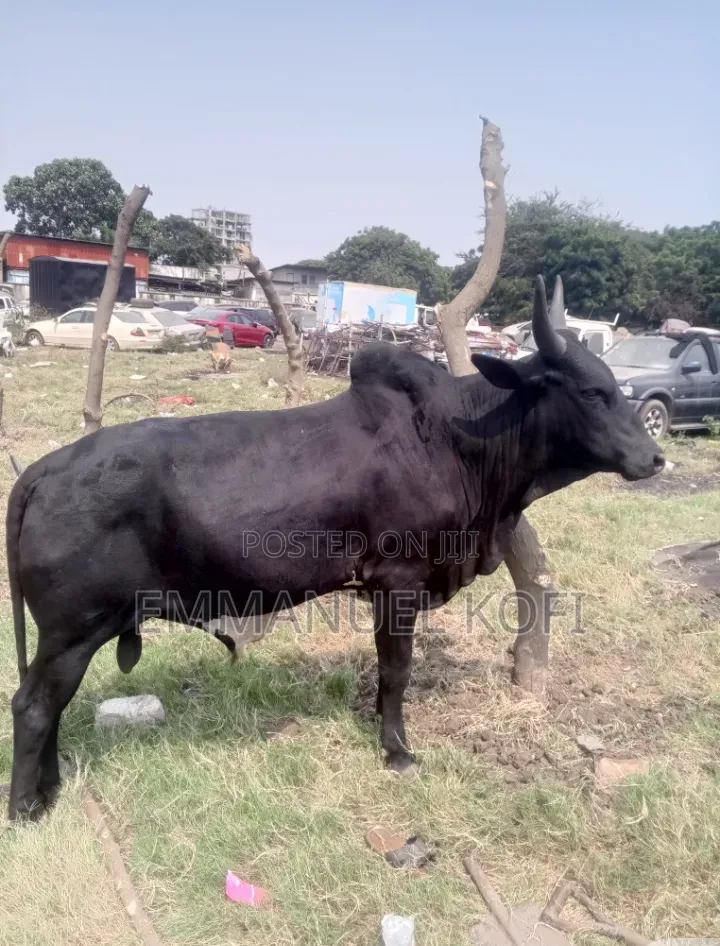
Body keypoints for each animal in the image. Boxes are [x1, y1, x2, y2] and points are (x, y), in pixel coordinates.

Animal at [6, 276, 663, 820]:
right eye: (592, 392)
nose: (655, 457)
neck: (457, 442)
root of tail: (43, 469)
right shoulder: (399, 581)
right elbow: (396, 671)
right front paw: (398, 751)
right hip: (73, 630)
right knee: (33, 707)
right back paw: (25, 809)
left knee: (49, 705)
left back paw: (51, 790)